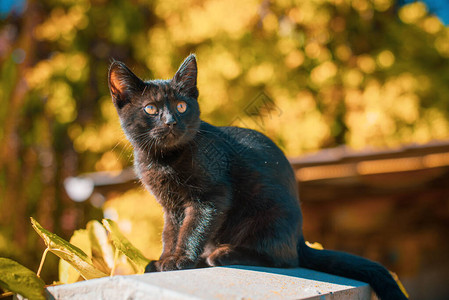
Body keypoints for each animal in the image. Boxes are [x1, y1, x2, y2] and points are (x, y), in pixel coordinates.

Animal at [107, 54, 406, 300]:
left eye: (181, 106)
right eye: (150, 109)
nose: (171, 121)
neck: (164, 160)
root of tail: (299, 236)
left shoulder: (211, 197)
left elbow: (192, 229)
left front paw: (179, 259)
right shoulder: (171, 206)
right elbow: (171, 232)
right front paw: (164, 260)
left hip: (270, 214)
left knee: (285, 258)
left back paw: (223, 253)